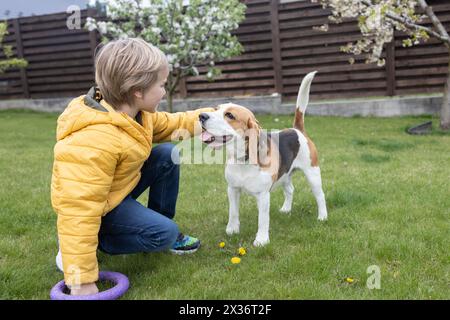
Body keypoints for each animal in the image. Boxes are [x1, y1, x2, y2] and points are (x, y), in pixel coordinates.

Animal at [199, 72, 326, 246]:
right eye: (216, 109)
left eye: (229, 115)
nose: (201, 116)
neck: (243, 160)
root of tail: (296, 130)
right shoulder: (232, 189)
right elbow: (233, 212)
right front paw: (232, 230)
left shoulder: (263, 195)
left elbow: (263, 219)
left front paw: (261, 240)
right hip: (284, 175)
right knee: (290, 190)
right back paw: (286, 209)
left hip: (313, 174)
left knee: (320, 195)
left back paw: (323, 216)